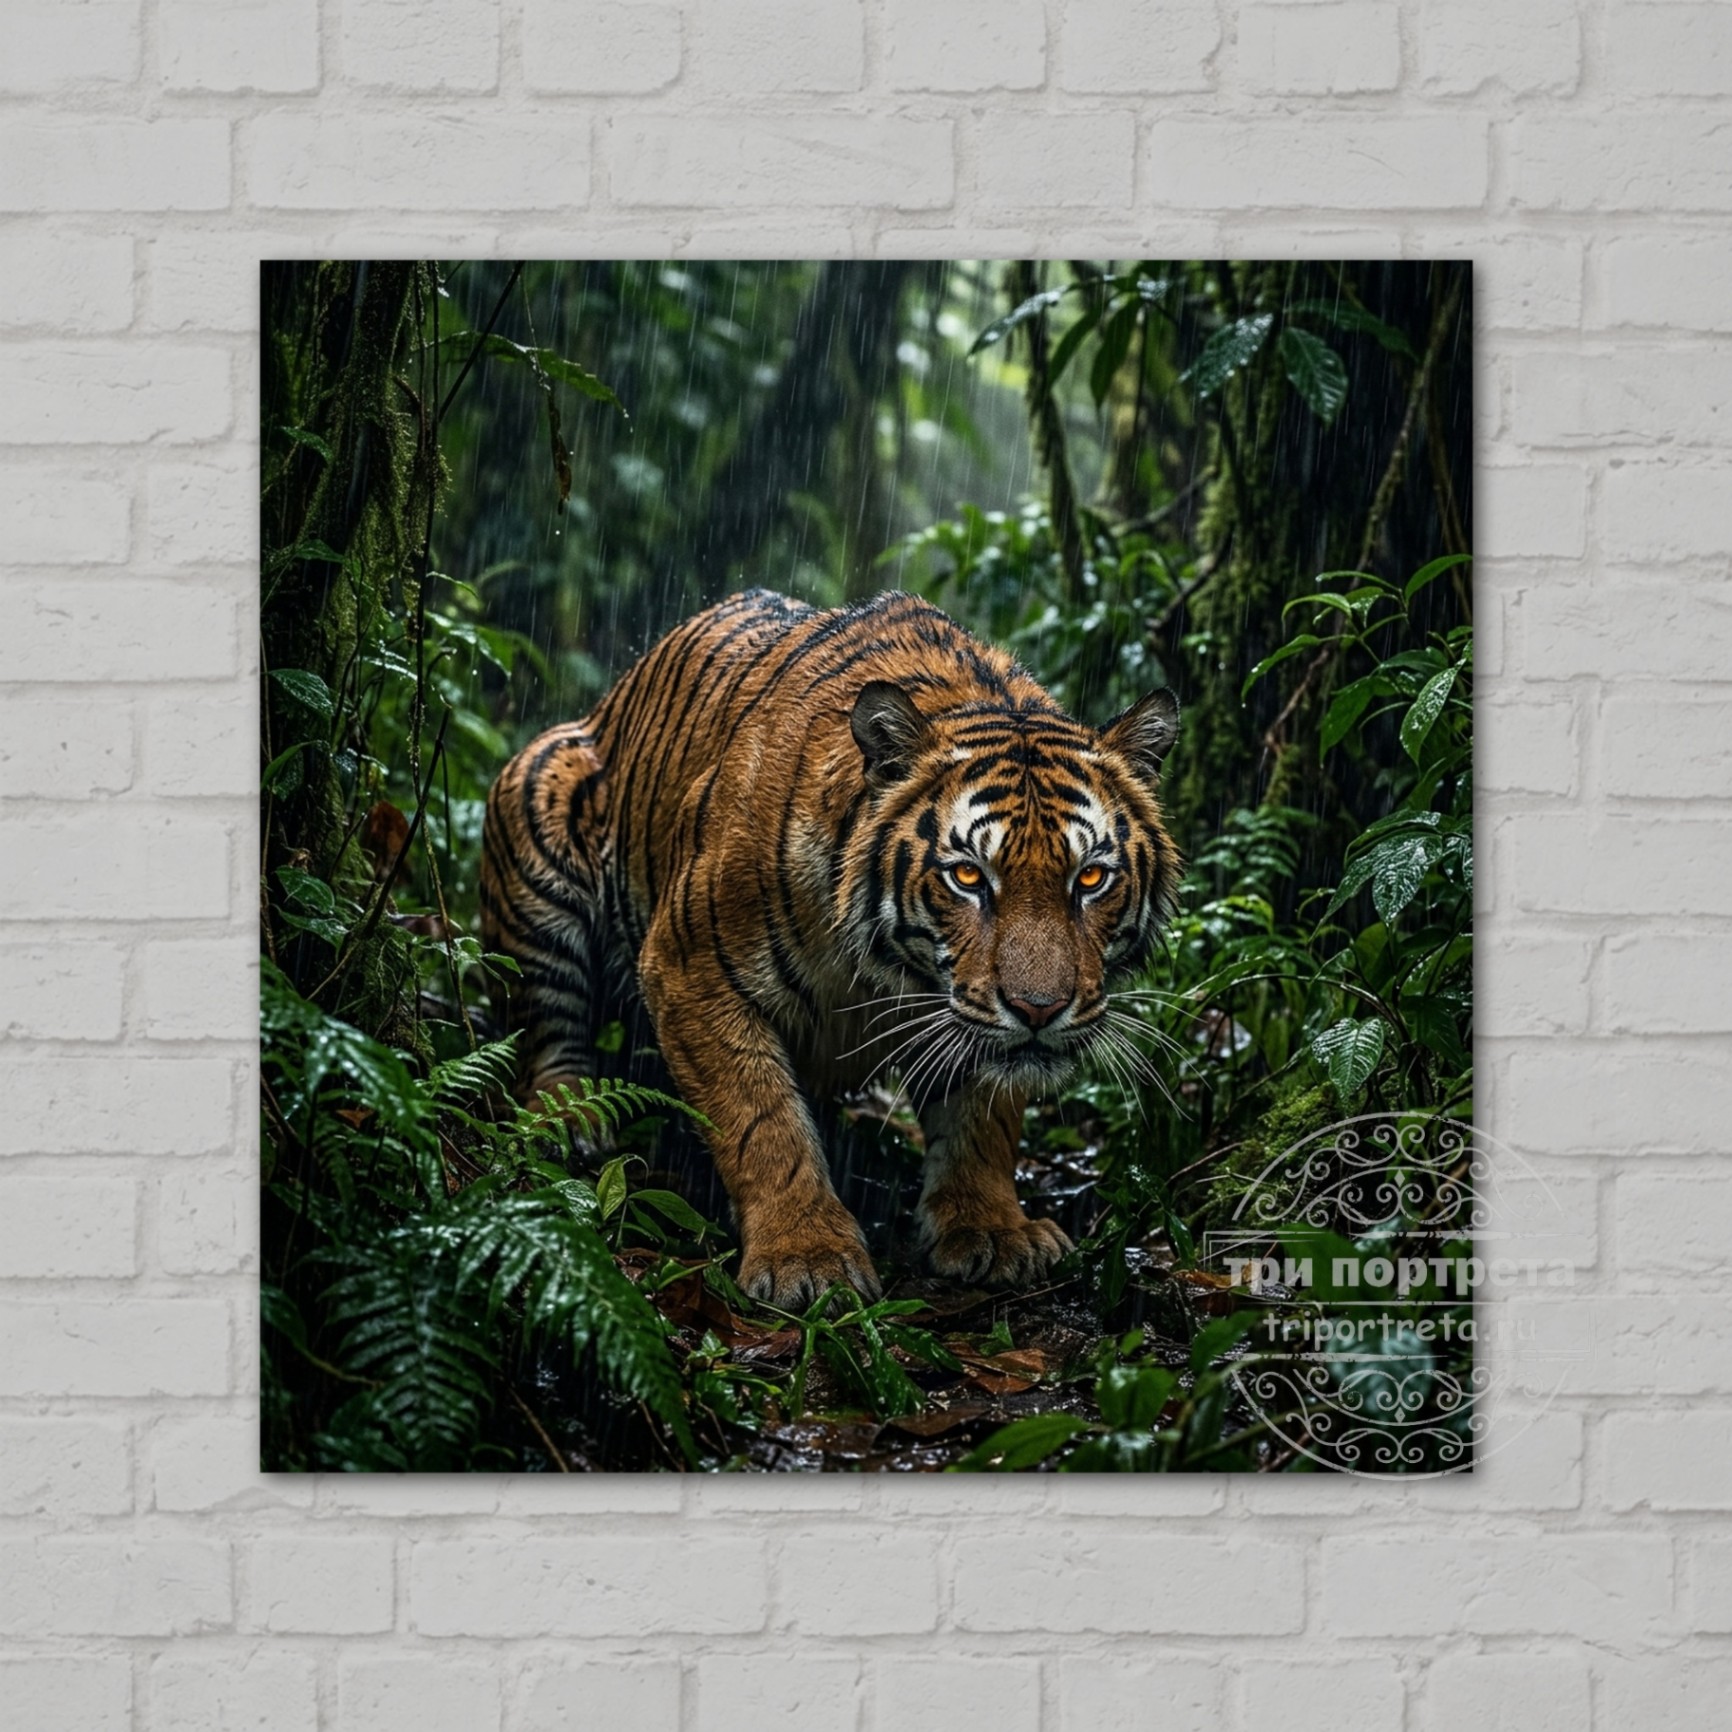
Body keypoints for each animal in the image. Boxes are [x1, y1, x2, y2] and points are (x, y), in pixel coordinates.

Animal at [480, 588, 1181, 1307]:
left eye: (1090, 879)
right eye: (967, 877)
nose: (1039, 1009)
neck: (889, 972)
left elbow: (982, 1121)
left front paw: (992, 1229)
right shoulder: (689, 967)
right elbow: (762, 1121)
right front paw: (806, 1255)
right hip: (538, 802)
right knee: (547, 1026)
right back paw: (570, 1117)